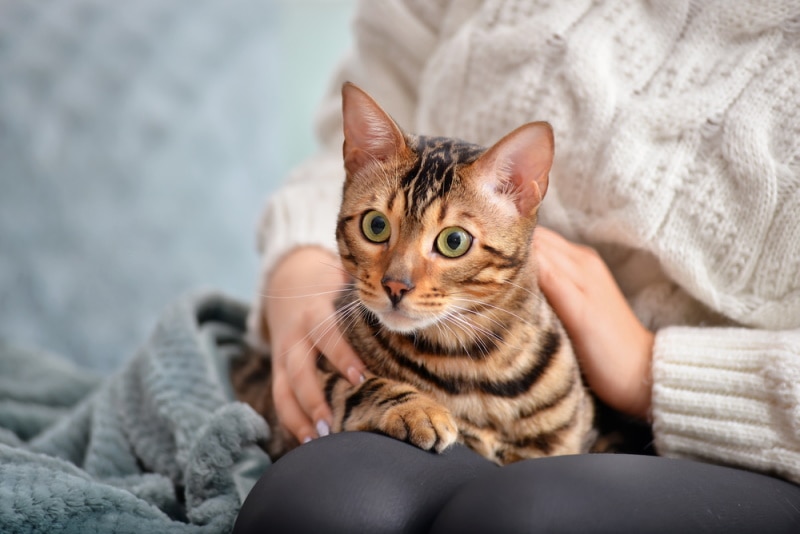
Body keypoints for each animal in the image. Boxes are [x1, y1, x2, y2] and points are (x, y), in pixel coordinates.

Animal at [231, 82, 592, 464]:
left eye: (454, 241)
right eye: (375, 225)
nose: (395, 285)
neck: (468, 360)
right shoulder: (303, 387)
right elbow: (355, 384)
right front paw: (418, 409)